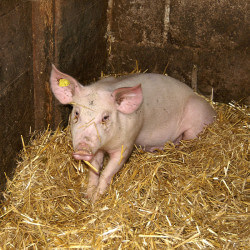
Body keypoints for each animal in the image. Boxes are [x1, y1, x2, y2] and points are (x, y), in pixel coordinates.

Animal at [49, 64, 216, 201]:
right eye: (77, 113)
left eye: (105, 117)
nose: (82, 149)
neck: (107, 145)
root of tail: (211, 109)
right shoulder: (96, 147)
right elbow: (94, 171)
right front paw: (88, 197)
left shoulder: (126, 144)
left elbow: (107, 173)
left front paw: (96, 200)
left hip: (195, 119)